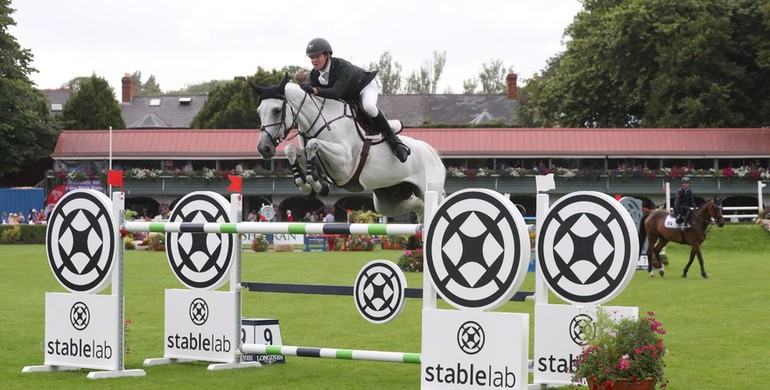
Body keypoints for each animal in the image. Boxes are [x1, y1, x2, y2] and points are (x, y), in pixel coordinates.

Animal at [252, 73, 444, 219]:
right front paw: (308, 185)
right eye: (259, 112)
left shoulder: (344, 164)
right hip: (389, 199)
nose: (264, 148)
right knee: (417, 205)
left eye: (277, 110)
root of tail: (433, 154)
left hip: (427, 188)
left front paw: (316, 183)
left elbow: (313, 144)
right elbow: (291, 150)